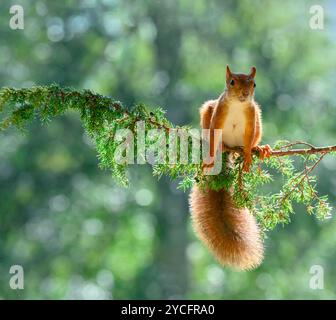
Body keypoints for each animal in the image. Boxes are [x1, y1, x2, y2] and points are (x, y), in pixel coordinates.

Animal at [190, 66, 272, 268]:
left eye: (254, 84)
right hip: (208, 111)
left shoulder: (251, 115)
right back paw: (222, 148)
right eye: (232, 82)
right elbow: (213, 132)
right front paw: (211, 156)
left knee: (252, 141)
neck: (237, 105)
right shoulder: (218, 113)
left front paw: (250, 154)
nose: (245, 94)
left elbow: (249, 138)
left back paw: (260, 149)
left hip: (258, 119)